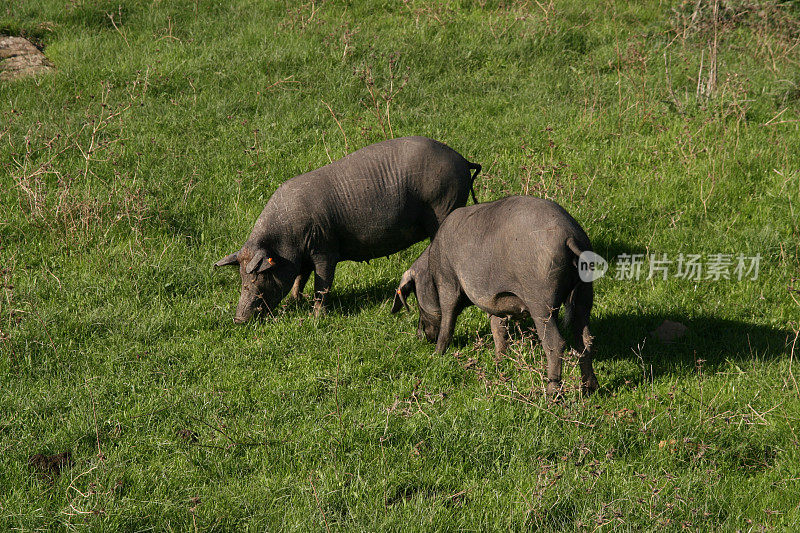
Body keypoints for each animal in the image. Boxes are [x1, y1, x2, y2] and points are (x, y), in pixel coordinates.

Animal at [214, 135, 482, 322]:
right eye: (241, 277)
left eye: (258, 276)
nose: (238, 320)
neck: (286, 240)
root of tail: (461, 159)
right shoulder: (303, 255)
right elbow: (300, 278)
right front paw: (294, 303)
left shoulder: (325, 249)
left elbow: (322, 283)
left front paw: (316, 317)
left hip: (444, 204)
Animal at [394, 195, 600, 394]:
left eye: (416, 299)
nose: (420, 337)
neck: (432, 268)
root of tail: (570, 236)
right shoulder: (497, 301)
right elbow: (497, 327)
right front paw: (499, 361)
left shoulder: (448, 282)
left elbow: (447, 321)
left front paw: (436, 355)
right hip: (584, 294)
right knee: (585, 340)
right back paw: (590, 389)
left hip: (541, 302)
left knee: (556, 343)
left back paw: (552, 394)